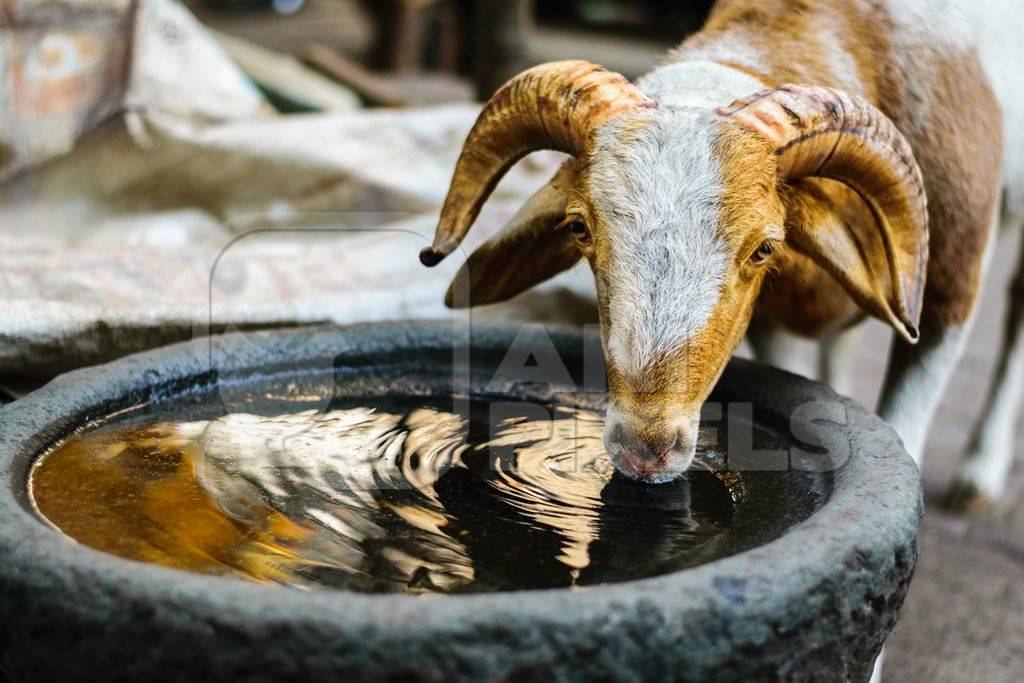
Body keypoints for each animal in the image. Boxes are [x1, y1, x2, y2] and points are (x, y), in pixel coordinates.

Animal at [417, 0, 1024, 509]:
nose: (645, 449)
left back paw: (978, 476)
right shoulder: (773, 320)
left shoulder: (948, 294)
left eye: (764, 247)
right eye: (579, 227)